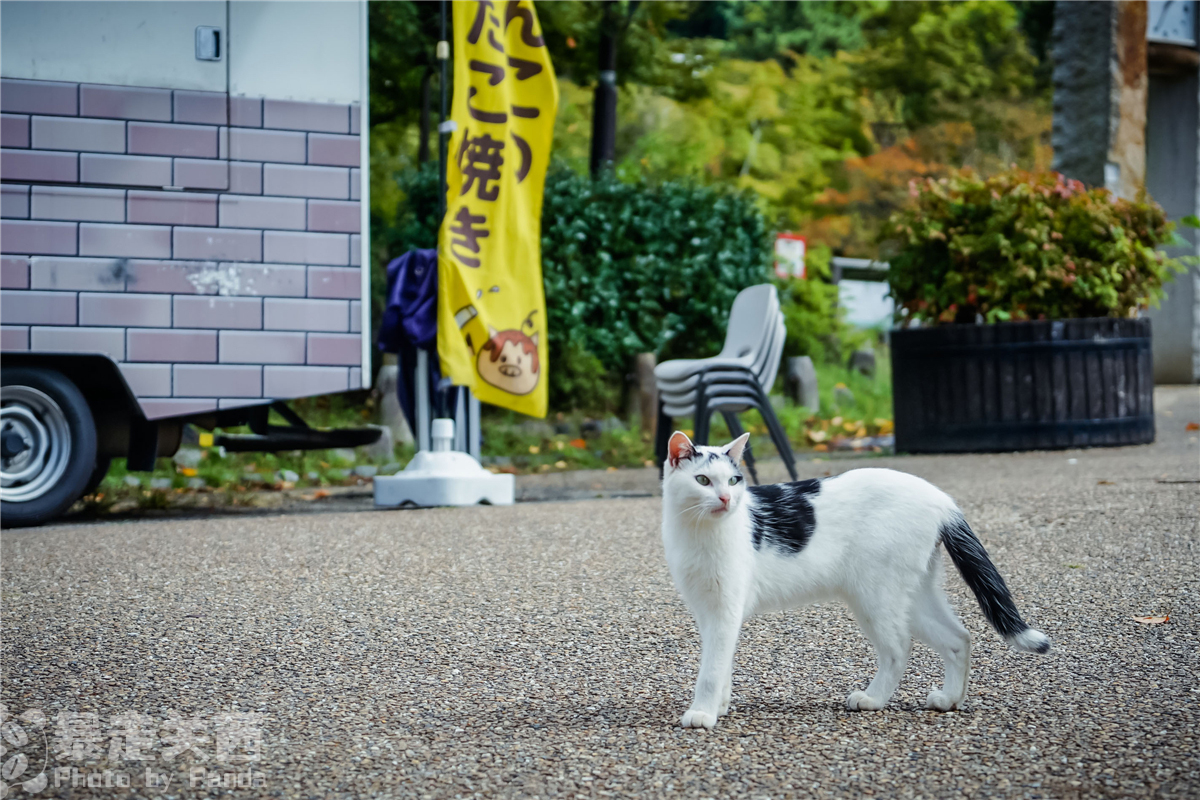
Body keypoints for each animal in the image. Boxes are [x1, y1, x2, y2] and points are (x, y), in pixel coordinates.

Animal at [662, 431, 1046, 734]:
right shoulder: (710, 611)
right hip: (914, 594)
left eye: (733, 481)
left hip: (875, 596)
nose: (726, 499)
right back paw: (950, 699)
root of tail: (942, 499)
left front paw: (702, 712)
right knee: (958, 639)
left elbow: (711, 668)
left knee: (898, 648)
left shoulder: (725, 609)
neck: (698, 531)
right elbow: (722, 660)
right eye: (703, 480)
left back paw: (873, 698)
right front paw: (719, 706)